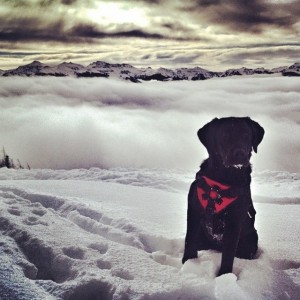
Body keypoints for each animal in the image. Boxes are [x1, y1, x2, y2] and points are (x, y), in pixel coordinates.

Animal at [182, 116, 264, 276]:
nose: (240, 153)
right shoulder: (193, 210)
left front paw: (224, 276)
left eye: (246, 135)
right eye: (225, 135)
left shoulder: (234, 219)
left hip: (251, 240)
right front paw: (188, 264)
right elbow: (190, 240)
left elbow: (228, 253)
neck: (224, 178)